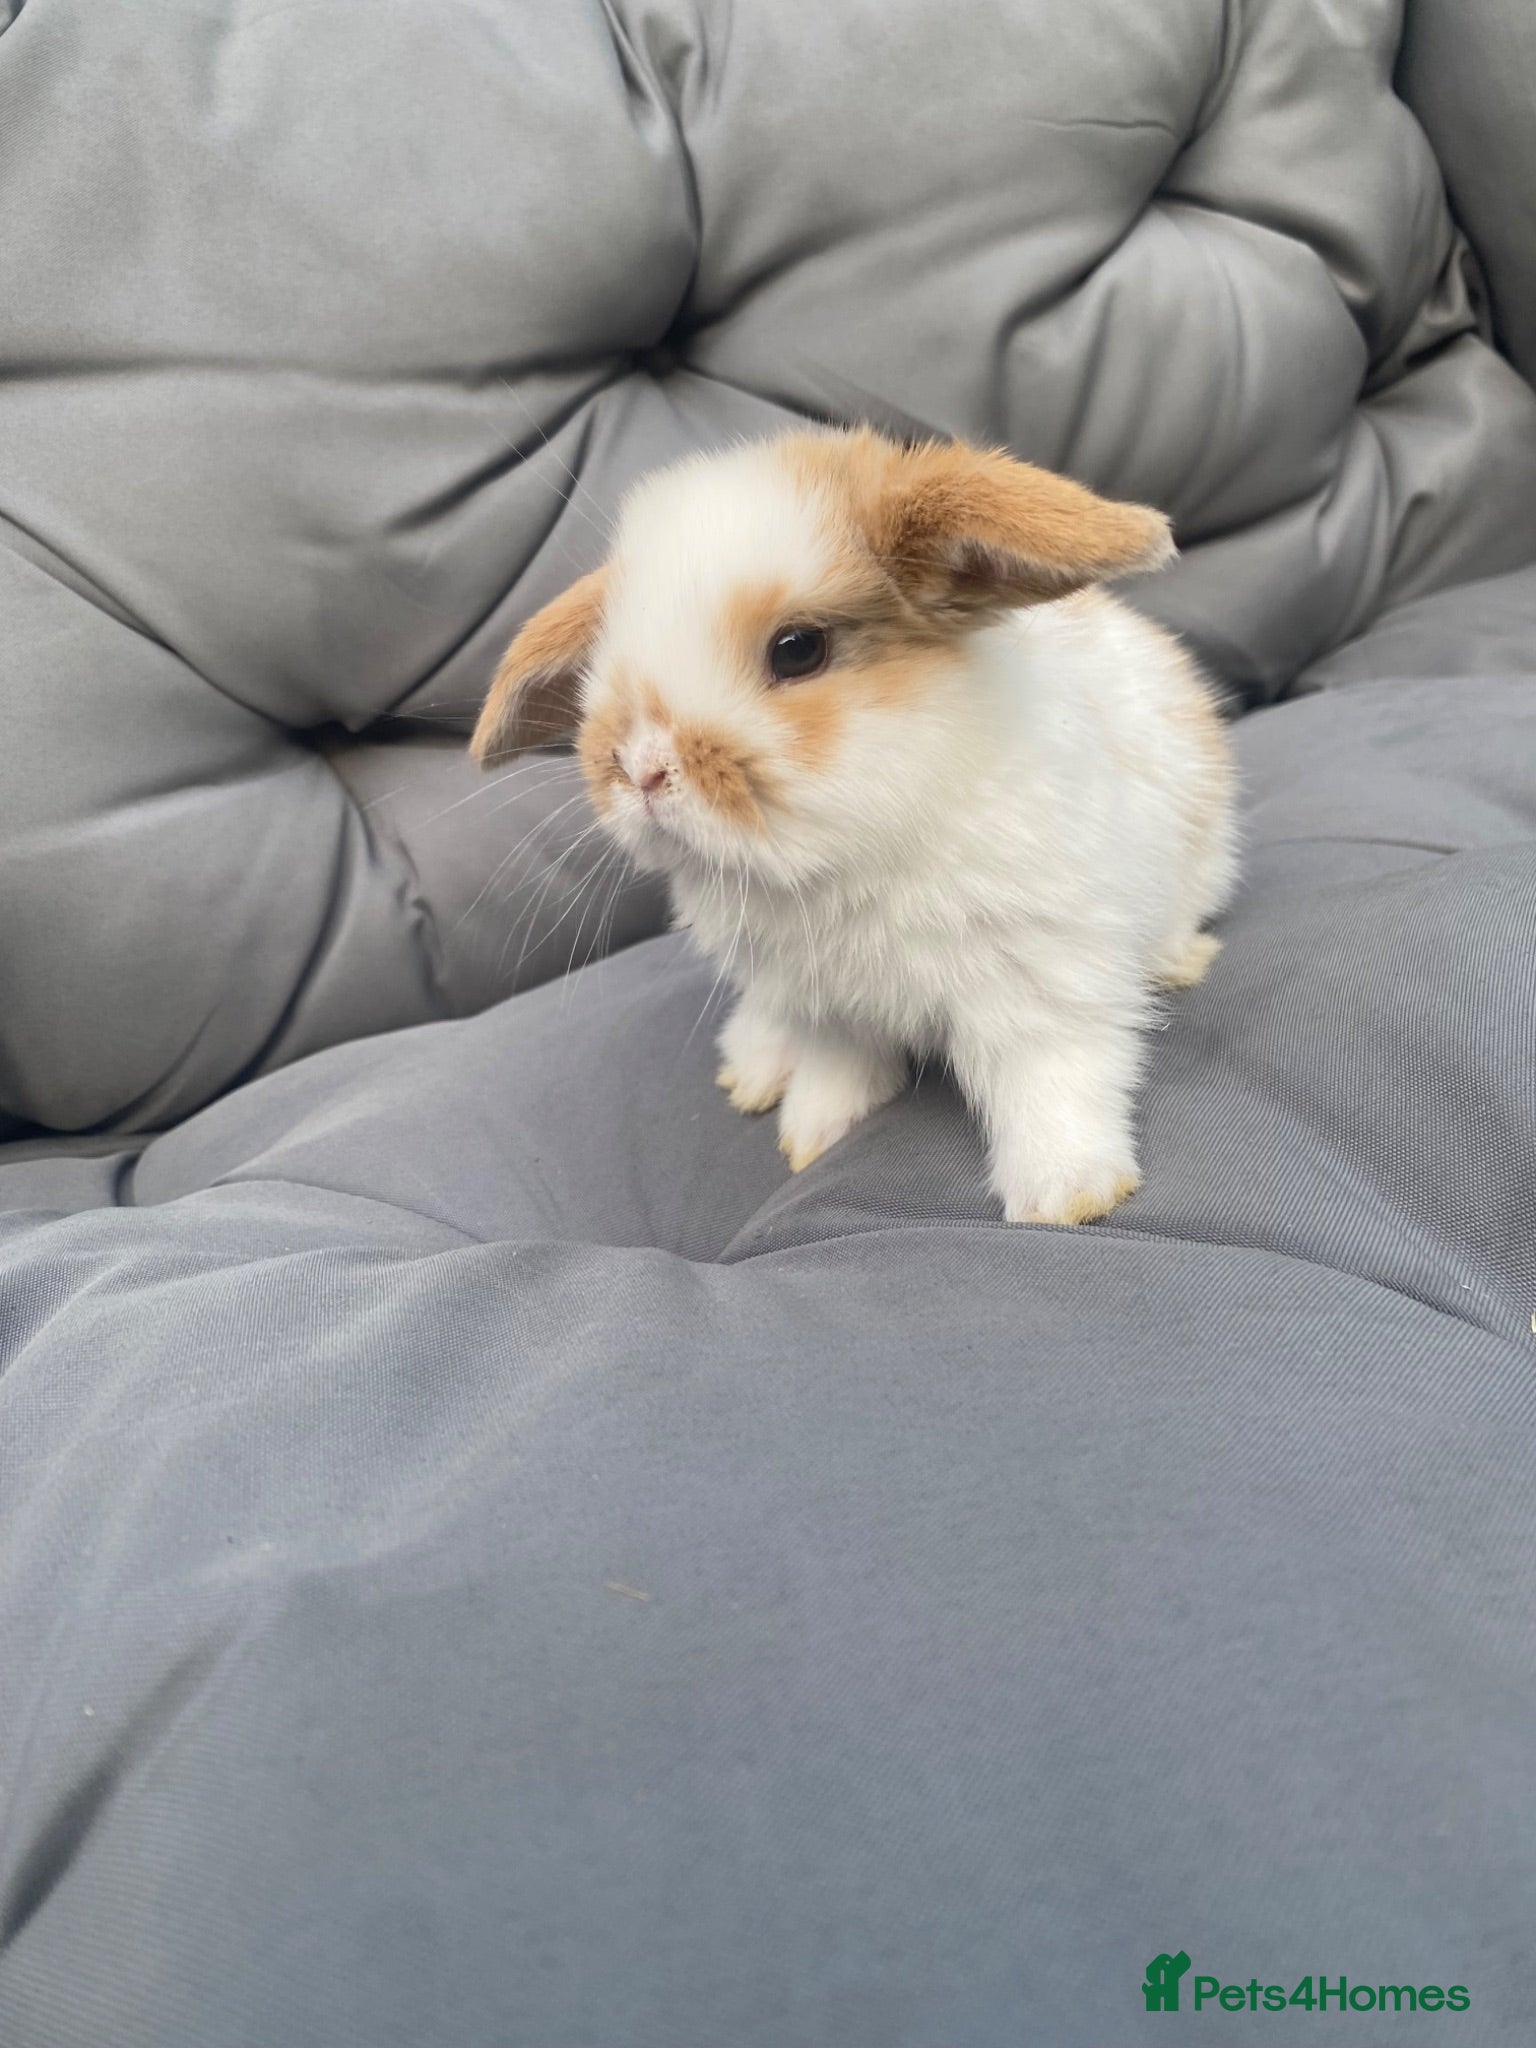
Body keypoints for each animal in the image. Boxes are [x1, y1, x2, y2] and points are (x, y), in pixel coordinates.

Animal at [470, 425, 1235, 1225]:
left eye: (798, 649)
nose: (642, 767)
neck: (838, 861)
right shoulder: (824, 1008)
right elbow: (836, 1072)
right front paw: (812, 1135)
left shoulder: (1040, 974)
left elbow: (1049, 1076)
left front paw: (1068, 1195)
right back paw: (753, 1069)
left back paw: (1179, 962)